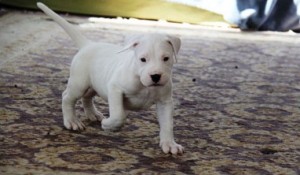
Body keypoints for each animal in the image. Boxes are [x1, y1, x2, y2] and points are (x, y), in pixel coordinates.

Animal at [37, 2, 183, 154]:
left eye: (166, 58)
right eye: (143, 59)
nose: (155, 76)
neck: (144, 84)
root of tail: (88, 45)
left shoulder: (165, 102)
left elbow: (167, 124)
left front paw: (169, 144)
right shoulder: (115, 88)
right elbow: (118, 115)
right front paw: (108, 124)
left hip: (94, 84)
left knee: (87, 97)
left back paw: (93, 114)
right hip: (79, 83)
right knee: (67, 97)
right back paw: (72, 121)